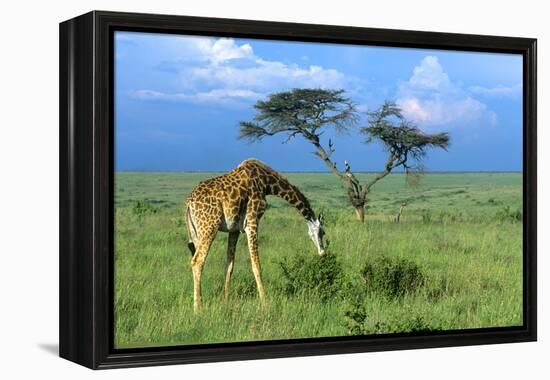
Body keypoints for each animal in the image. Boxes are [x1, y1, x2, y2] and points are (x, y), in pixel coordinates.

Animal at [184, 157, 328, 312]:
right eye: (322, 232)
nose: (322, 253)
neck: (267, 183)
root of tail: (188, 203)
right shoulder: (252, 222)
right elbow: (256, 265)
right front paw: (265, 304)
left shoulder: (234, 229)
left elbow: (229, 266)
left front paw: (225, 302)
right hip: (209, 227)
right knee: (197, 262)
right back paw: (198, 308)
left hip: (197, 232)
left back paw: (199, 301)